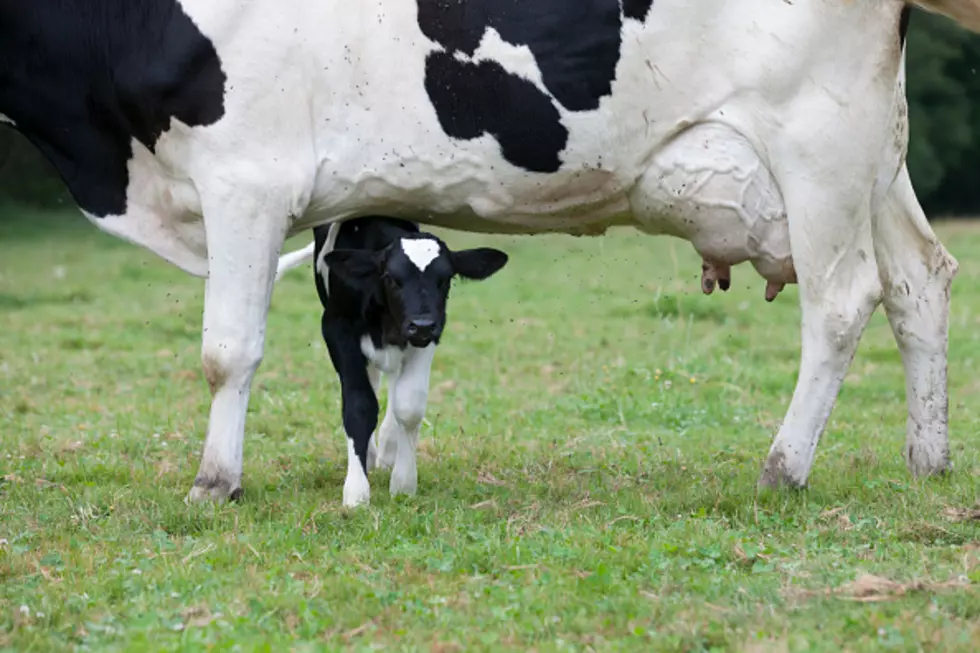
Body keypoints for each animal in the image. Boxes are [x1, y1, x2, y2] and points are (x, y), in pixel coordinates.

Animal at [284, 216, 506, 506]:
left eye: (446, 278)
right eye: (391, 278)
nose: (421, 324)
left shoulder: (430, 335)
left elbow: (408, 406)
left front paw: (403, 482)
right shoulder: (336, 327)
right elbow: (359, 404)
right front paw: (356, 491)